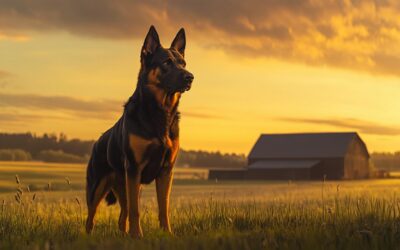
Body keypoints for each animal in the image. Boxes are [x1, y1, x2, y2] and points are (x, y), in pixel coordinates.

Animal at [85, 25, 194, 238]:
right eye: (167, 62)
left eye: (183, 63)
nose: (190, 77)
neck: (160, 111)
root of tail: (97, 142)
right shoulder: (134, 169)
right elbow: (136, 210)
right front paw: (137, 236)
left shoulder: (166, 171)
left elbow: (163, 208)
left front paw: (167, 233)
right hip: (98, 187)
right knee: (91, 217)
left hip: (127, 186)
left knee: (122, 216)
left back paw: (123, 234)